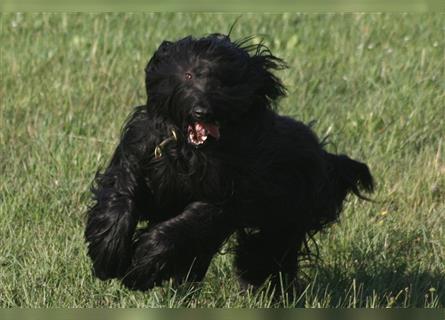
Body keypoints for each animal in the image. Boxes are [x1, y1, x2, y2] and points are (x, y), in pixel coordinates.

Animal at [84, 34, 374, 292]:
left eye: (224, 82)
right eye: (189, 75)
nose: (202, 111)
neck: (188, 151)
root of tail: (324, 156)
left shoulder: (228, 194)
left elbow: (188, 223)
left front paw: (142, 266)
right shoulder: (140, 153)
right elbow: (122, 195)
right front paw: (108, 254)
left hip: (287, 215)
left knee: (267, 253)